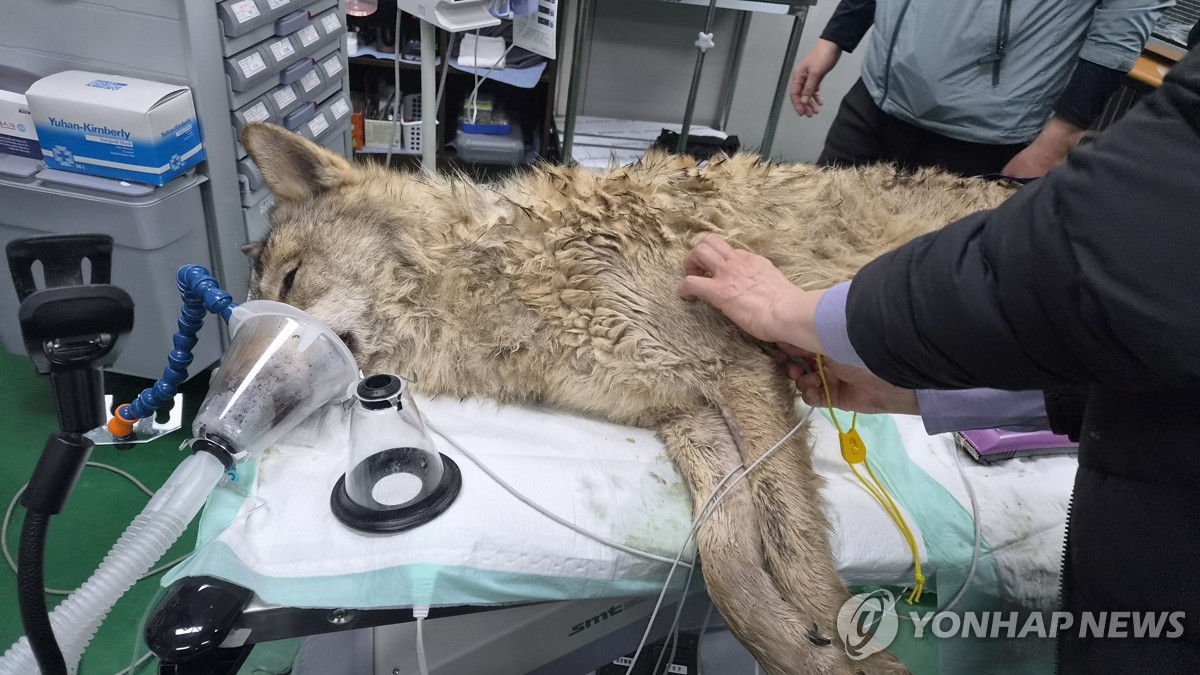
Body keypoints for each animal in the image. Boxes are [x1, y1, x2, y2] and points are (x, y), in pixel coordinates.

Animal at [239, 123, 1015, 674]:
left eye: (292, 280)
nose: (233, 409)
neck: (503, 277)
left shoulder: (739, 368)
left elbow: (791, 543)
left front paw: (849, 646)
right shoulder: (687, 415)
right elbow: (728, 562)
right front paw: (801, 647)